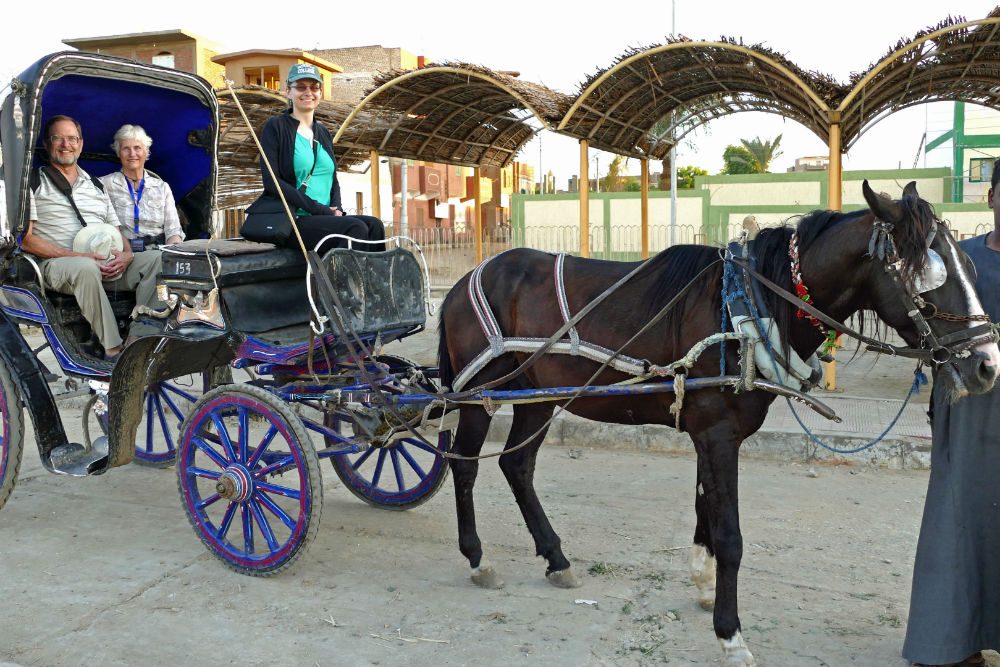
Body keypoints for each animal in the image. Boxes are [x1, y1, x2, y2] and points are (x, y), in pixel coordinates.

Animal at [438, 180, 1000, 664]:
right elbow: (730, 533)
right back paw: (477, 557)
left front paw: (705, 586)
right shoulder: (716, 433)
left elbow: (704, 509)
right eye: (927, 276)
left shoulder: (710, 434)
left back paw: (556, 558)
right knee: (464, 466)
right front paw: (731, 634)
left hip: (536, 396)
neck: (749, 310)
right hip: (478, 392)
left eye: (968, 265)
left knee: (517, 467)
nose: (986, 364)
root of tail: (466, 281)